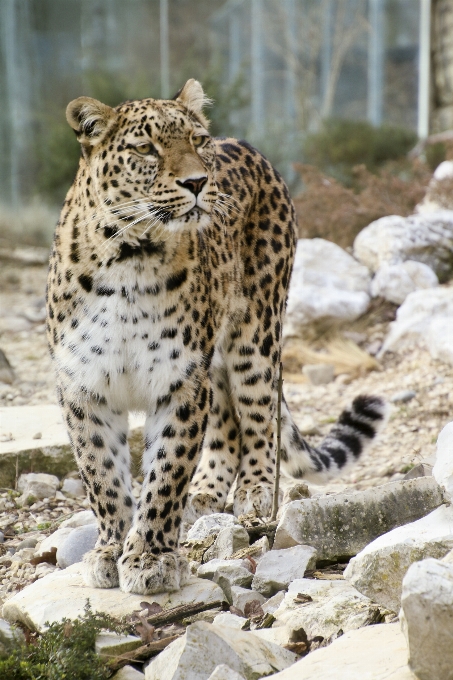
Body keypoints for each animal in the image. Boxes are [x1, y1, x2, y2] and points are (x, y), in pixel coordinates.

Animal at [45, 77, 384, 592]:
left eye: (196, 140)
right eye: (145, 148)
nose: (197, 182)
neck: (127, 258)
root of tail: (247, 145)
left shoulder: (180, 381)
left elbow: (165, 473)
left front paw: (150, 559)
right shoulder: (84, 387)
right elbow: (103, 477)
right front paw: (109, 549)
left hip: (255, 336)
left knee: (259, 415)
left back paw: (255, 492)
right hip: (217, 355)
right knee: (225, 420)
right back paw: (204, 495)